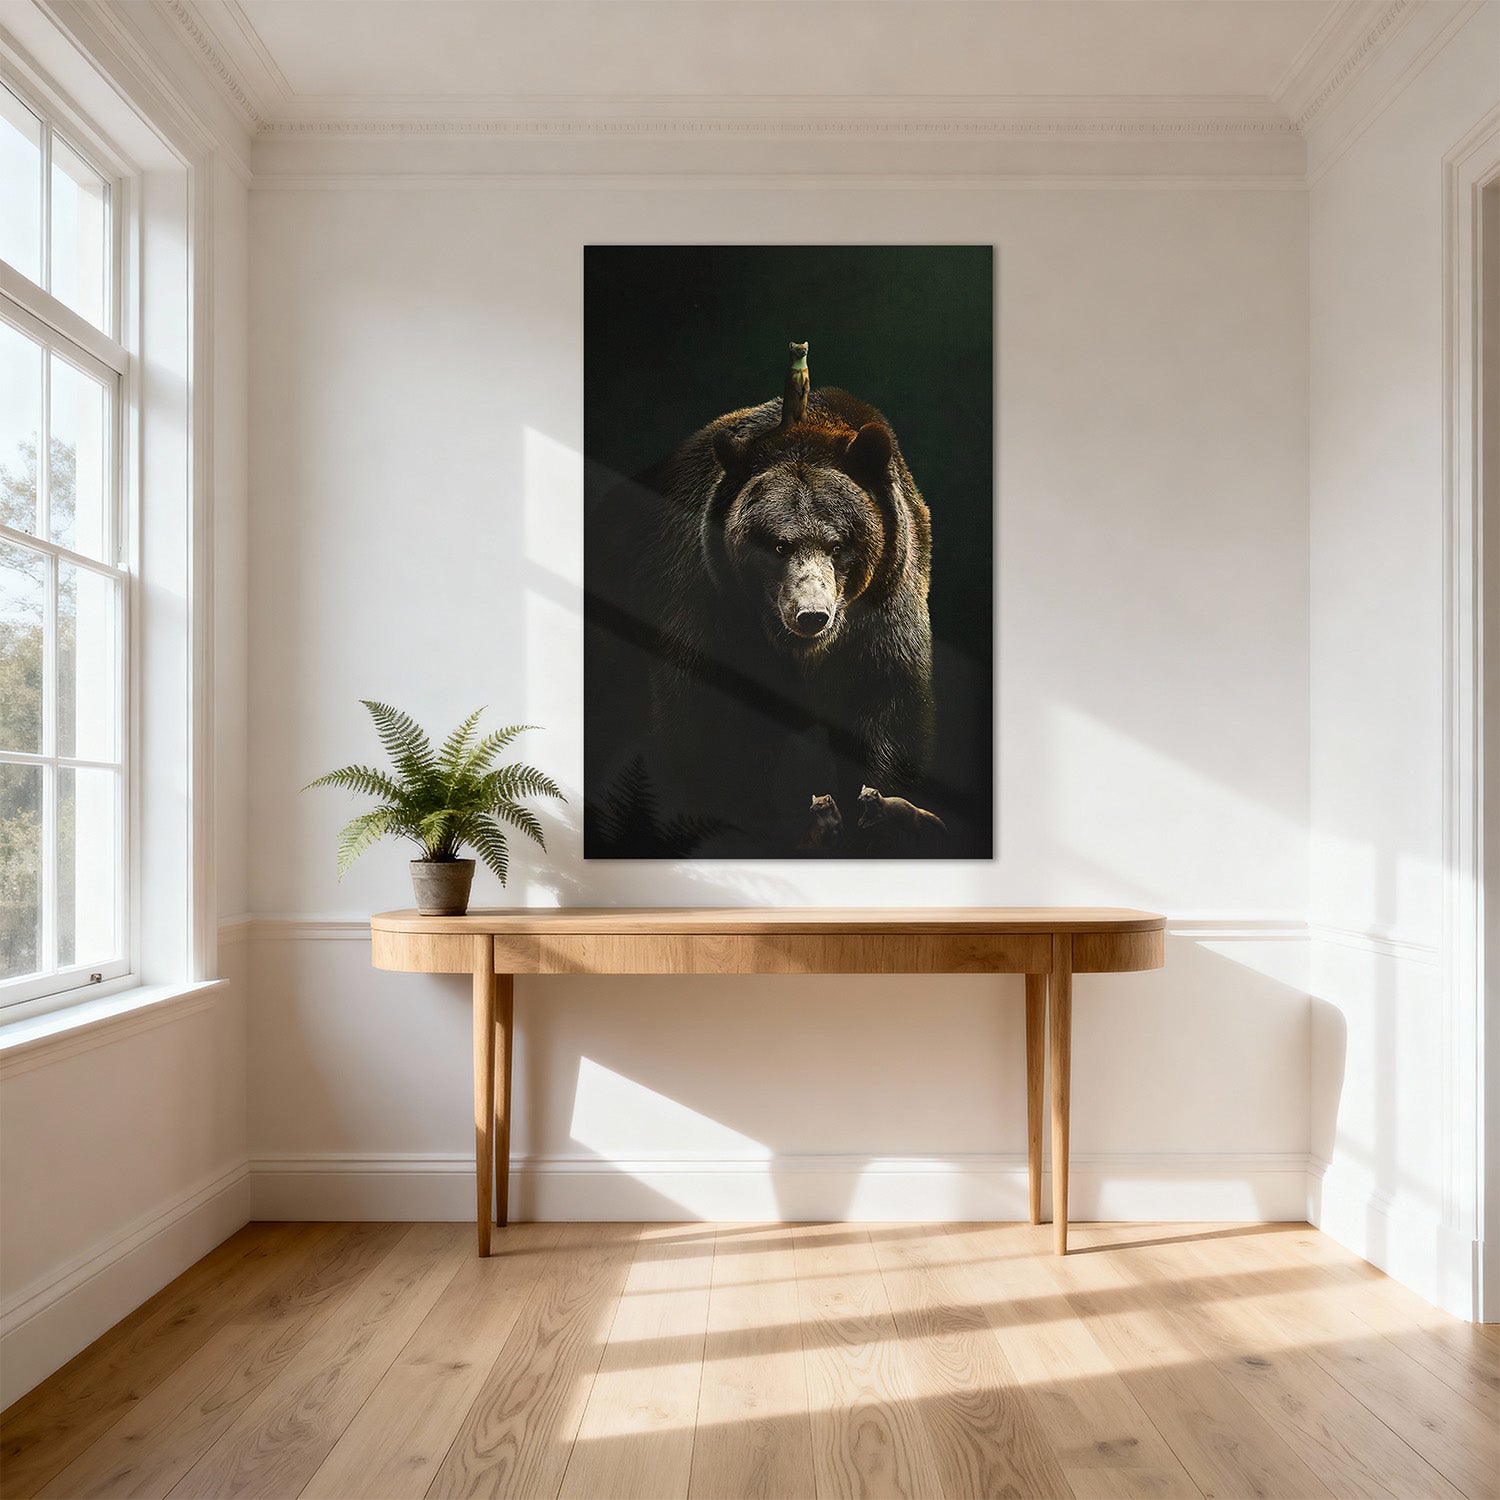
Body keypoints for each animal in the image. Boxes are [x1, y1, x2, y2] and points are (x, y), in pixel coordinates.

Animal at [585, 349, 935, 857]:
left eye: (838, 544)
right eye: (777, 545)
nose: (811, 614)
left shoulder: (881, 618)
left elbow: (885, 719)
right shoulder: (709, 604)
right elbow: (712, 729)